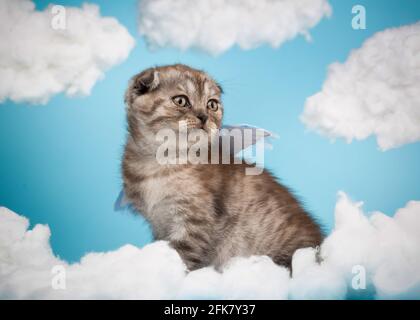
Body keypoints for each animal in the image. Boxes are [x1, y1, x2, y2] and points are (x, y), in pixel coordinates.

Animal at [123, 63, 324, 272]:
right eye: (181, 101)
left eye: (212, 104)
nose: (204, 117)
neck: (160, 162)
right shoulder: (159, 224)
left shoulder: (195, 223)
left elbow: (182, 257)